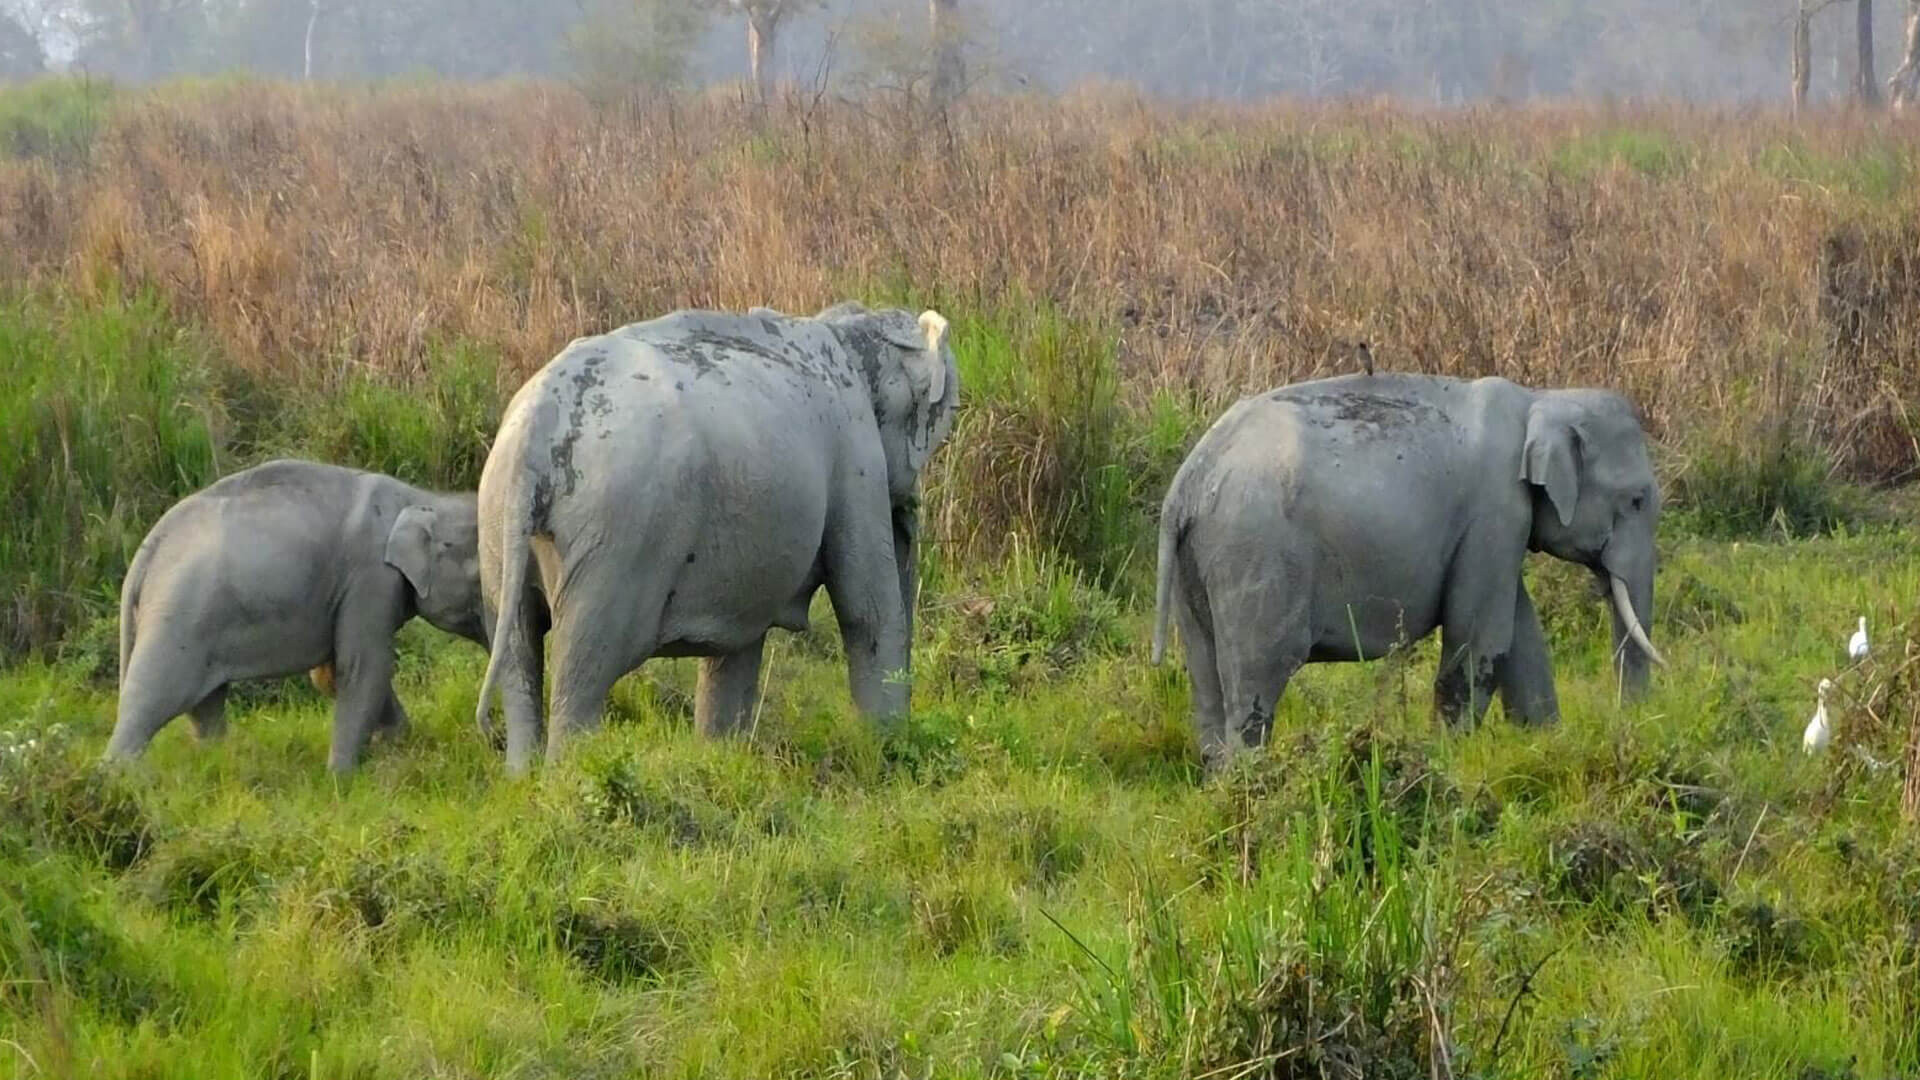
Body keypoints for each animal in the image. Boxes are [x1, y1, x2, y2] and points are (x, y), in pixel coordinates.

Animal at [106, 457, 491, 768]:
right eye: (481, 580)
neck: (421, 499)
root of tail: (146, 551)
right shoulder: (370, 579)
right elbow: (365, 666)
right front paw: (341, 777)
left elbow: (334, 673)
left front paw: (395, 741)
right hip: (177, 616)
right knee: (151, 699)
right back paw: (119, 780)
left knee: (204, 705)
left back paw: (219, 762)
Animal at [476, 297, 960, 768]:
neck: (843, 326)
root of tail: (536, 433)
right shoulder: (855, 454)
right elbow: (866, 610)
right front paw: (886, 748)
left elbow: (738, 644)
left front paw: (721, 757)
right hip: (616, 538)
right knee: (586, 668)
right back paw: (566, 776)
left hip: (499, 526)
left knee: (518, 655)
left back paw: (522, 780)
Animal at [1152, 372, 1666, 764]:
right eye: (1637, 501)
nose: (1630, 727)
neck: (1539, 398)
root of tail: (1185, 485)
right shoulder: (1495, 511)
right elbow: (1480, 637)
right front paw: (1451, 758)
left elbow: (1519, 635)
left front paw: (1542, 747)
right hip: (1256, 559)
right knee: (1258, 678)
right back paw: (1254, 785)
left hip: (1198, 565)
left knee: (1206, 682)